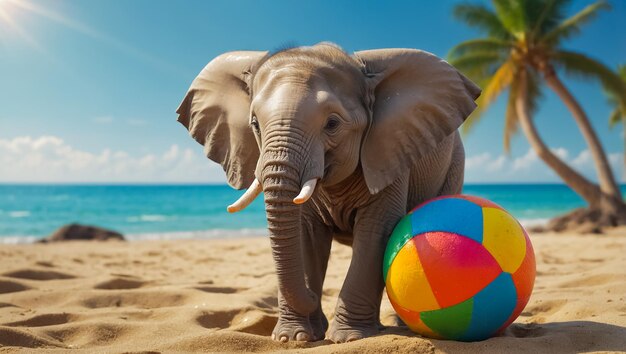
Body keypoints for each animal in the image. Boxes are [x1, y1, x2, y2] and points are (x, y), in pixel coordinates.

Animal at [176, 42, 478, 342]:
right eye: (255, 125)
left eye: (332, 124)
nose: (311, 296)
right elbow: (305, 234)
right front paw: (294, 338)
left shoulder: (388, 152)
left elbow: (376, 227)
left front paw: (349, 338)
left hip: (454, 165)